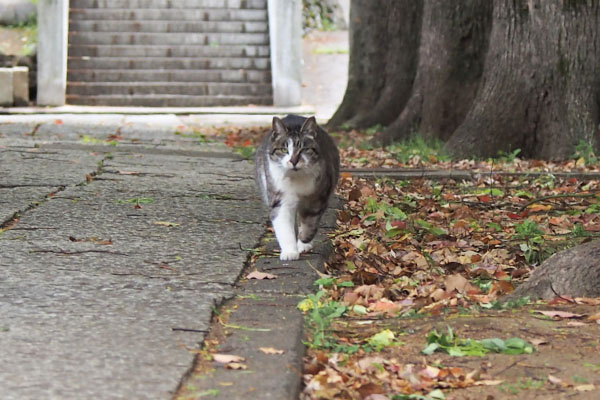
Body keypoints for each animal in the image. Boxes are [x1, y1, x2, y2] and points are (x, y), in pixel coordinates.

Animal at [255, 114, 340, 260]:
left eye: (304, 149)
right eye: (284, 150)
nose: (293, 160)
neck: (296, 179)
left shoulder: (318, 198)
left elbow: (310, 222)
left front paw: (304, 240)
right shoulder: (280, 197)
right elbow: (284, 226)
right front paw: (290, 252)